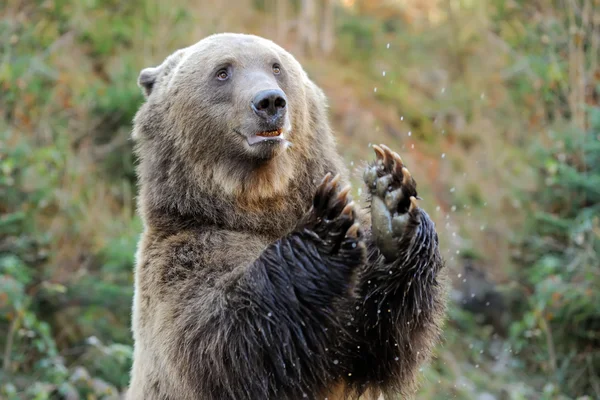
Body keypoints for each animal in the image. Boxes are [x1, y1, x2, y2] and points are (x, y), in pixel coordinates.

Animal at [127, 32, 446, 400]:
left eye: (276, 66)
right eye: (222, 71)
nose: (269, 102)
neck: (256, 205)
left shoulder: (353, 331)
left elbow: (380, 339)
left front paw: (391, 199)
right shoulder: (180, 258)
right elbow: (222, 340)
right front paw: (327, 222)